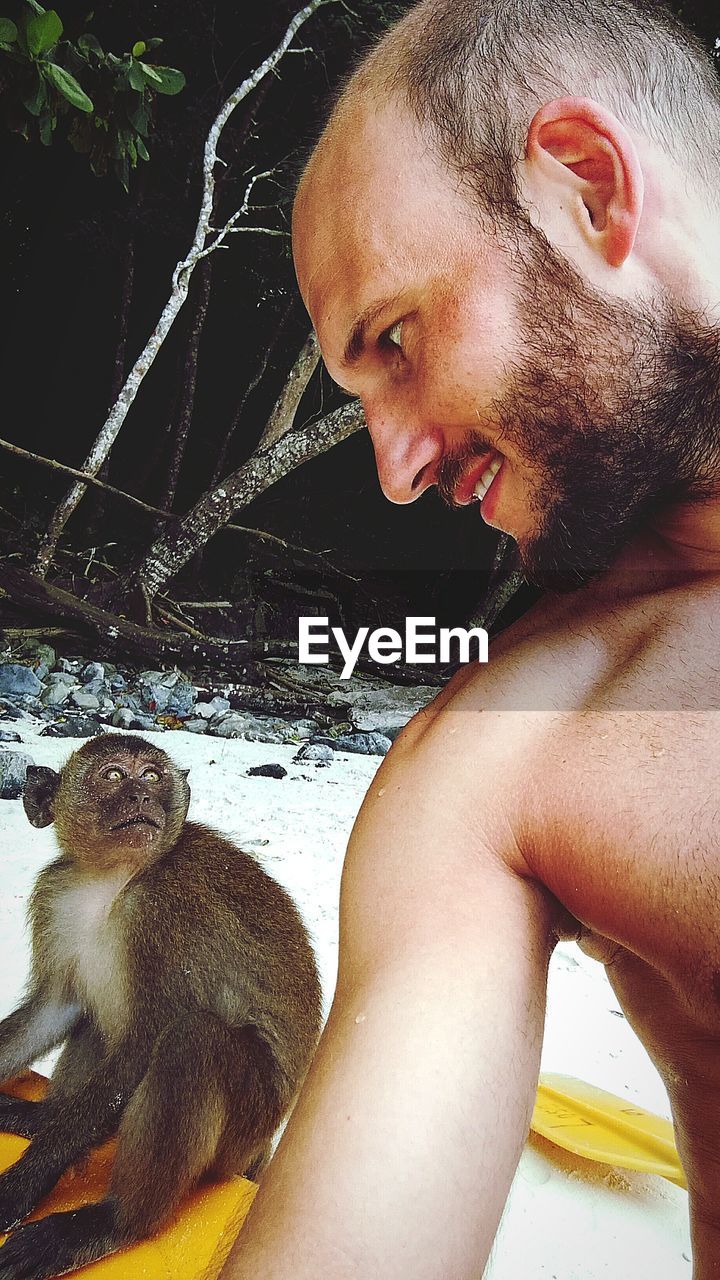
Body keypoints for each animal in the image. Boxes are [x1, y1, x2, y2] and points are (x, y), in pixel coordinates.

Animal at [0, 737, 320, 1274]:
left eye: (151, 776)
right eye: (113, 775)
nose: (142, 796)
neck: (111, 879)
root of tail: (261, 1146)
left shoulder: (167, 910)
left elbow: (145, 1043)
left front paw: (21, 1187)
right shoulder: (55, 897)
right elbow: (57, 1007)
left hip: (245, 1128)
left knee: (193, 1040)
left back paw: (115, 1224)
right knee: (97, 1024)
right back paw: (44, 1118)